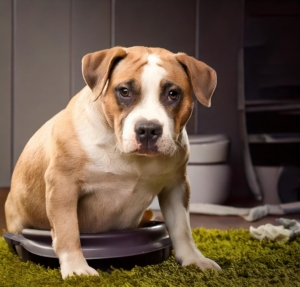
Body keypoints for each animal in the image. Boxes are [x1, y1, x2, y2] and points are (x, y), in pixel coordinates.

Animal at [4, 46, 220, 280]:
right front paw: (77, 269)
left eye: (173, 94)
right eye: (124, 91)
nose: (148, 129)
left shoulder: (176, 186)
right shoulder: (63, 184)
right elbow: (67, 230)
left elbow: (182, 228)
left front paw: (194, 260)